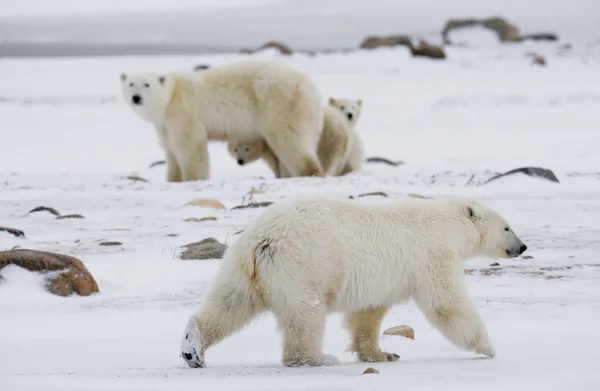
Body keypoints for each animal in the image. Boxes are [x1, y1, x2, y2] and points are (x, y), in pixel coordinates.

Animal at [120, 59, 324, 182]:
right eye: (131, 84)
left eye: (146, 84)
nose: (136, 97)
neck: (170, 97)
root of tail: (309, 84)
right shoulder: (164, 125)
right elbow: (170, 150)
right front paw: (173, 179)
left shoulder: (184, 112)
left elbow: (189, 147)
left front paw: (193, 179)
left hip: (278, 103)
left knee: (289, 139)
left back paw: (307, 172)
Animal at [180, 198, 528, 370]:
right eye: (507, 227)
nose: (523, 247)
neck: (447, 222)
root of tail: (264, 239)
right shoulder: (433, 254)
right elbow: (447, 303)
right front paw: (488, 347)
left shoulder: (382, 277)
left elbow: (368, 314)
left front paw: (382, 354)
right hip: (305, 264)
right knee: (306, 314)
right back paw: (318, 358)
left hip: (243, 266)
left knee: (230, 304)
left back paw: (192, 347)